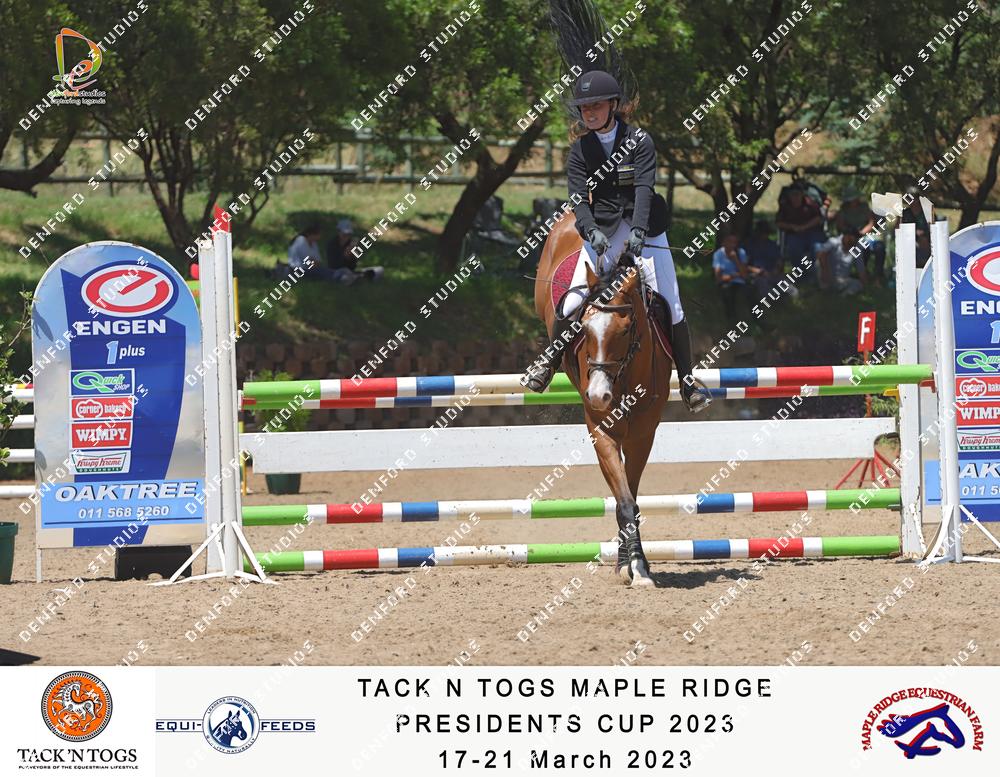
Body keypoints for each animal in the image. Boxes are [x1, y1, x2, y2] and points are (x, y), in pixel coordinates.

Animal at [534, 212, 672, 587]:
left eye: (624, 331)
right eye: (583, 328)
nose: (598, 395)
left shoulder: (642, 434)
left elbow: (632, 498)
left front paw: (635, 564)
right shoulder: (601, 430)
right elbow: (623, 500)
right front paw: (633, 565)